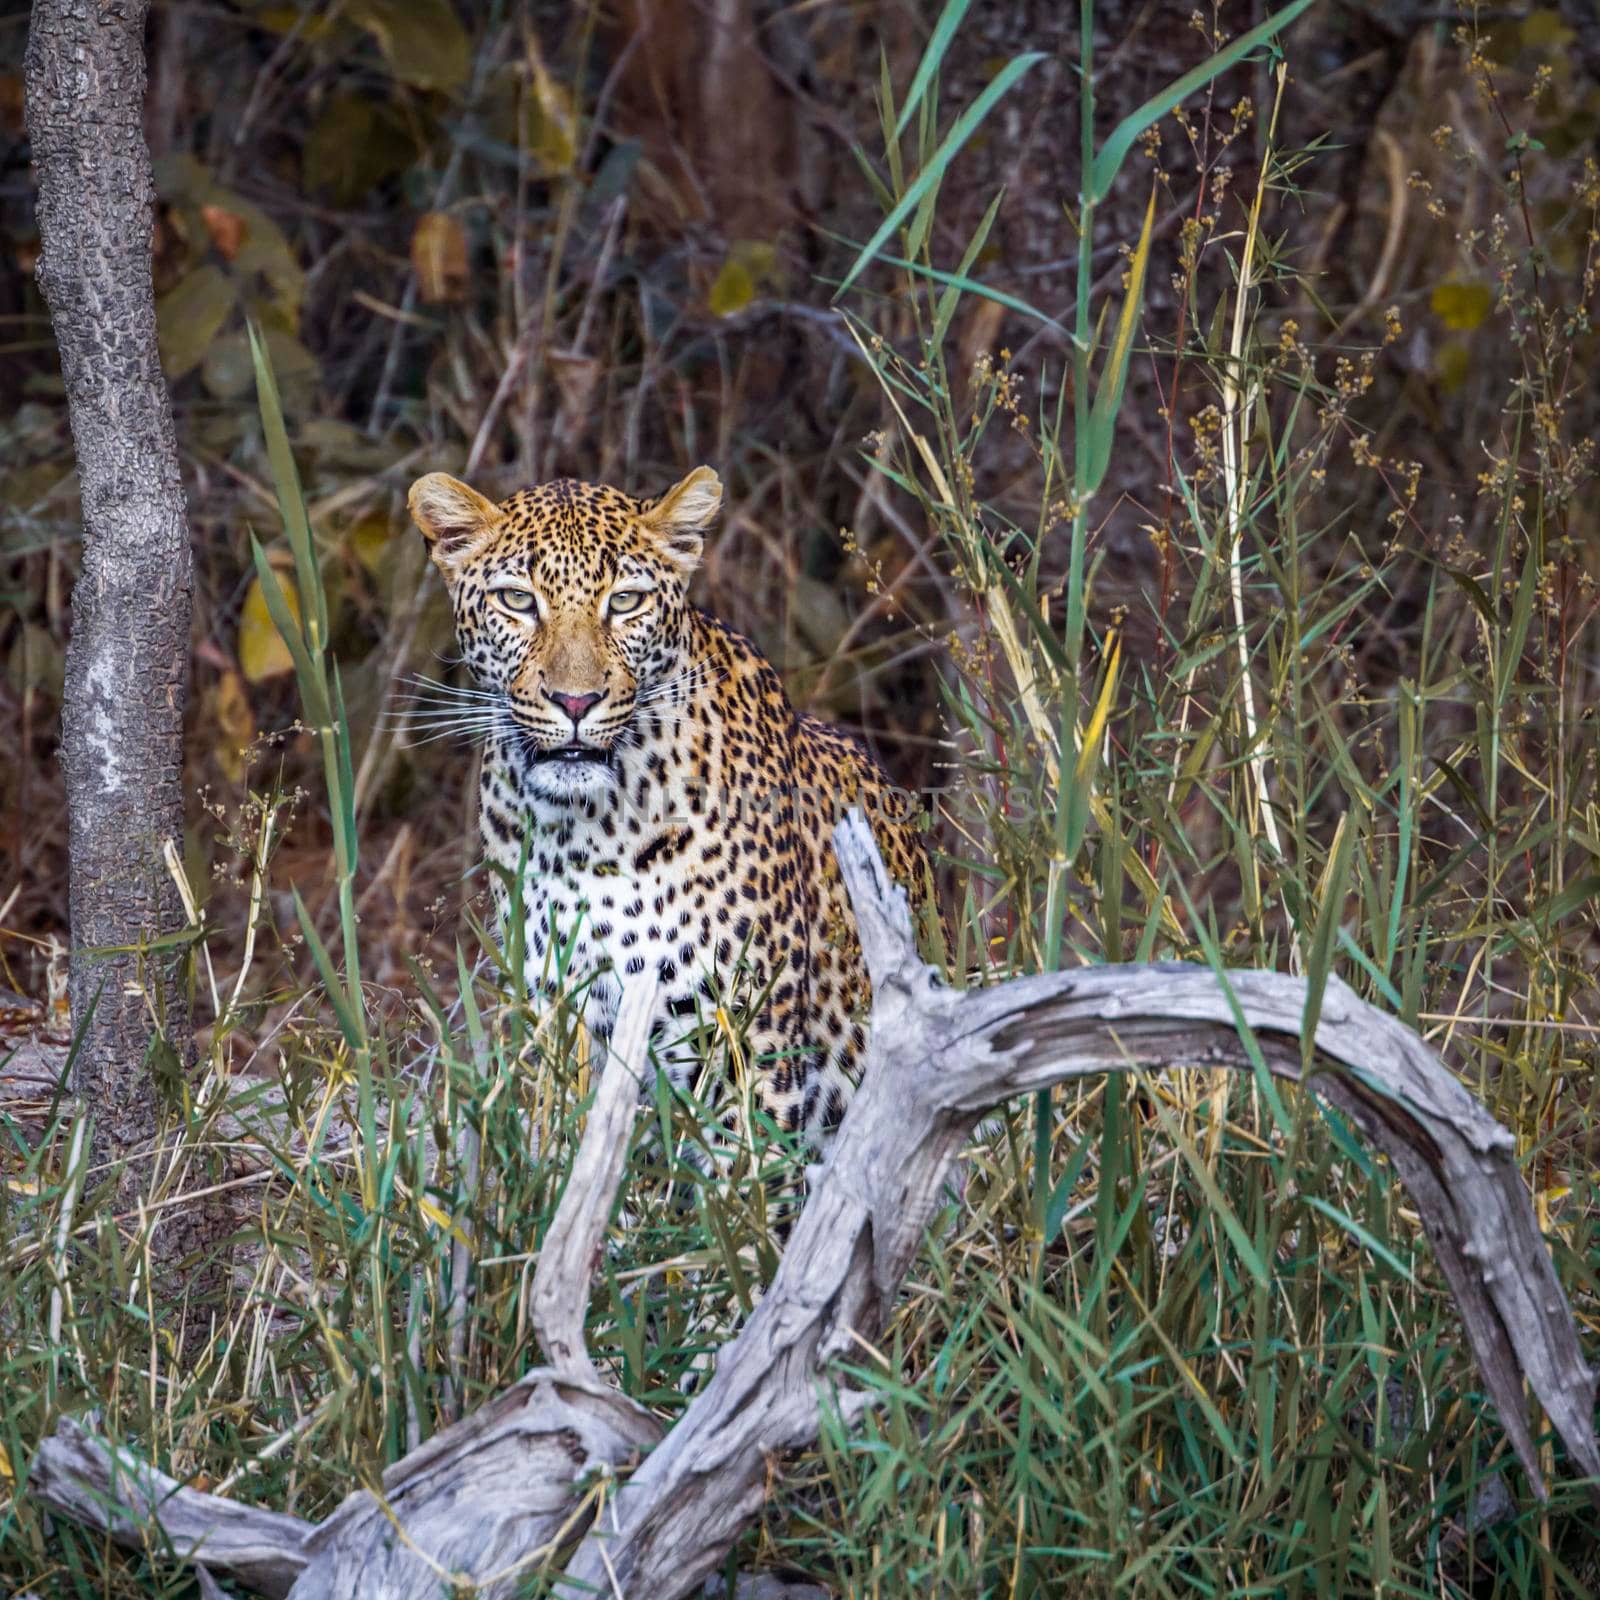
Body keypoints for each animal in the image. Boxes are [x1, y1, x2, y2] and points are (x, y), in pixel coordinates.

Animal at [406, 464, 940, 1139]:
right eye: (518, 601)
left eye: (625, 602)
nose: (575, 701)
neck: (589, 831)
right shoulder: (559, 1013)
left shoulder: (748, 1035)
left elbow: (747, 1162)